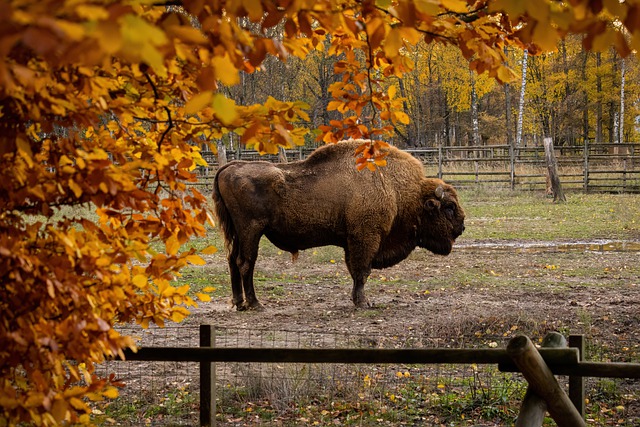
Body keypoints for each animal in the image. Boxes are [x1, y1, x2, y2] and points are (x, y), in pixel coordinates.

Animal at [214, 140, 464, 310]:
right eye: (449, 207)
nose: (461, 227)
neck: (398, 190)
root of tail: (230, 167)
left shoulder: (351, 242)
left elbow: (355, 272)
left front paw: (357, 300)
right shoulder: (365, 238)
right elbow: (362, 272)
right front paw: (364, 303)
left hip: (238, 233)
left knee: (232, 261)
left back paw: (238, 302)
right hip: (251, 230)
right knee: (246, 263)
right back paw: (255, 304)